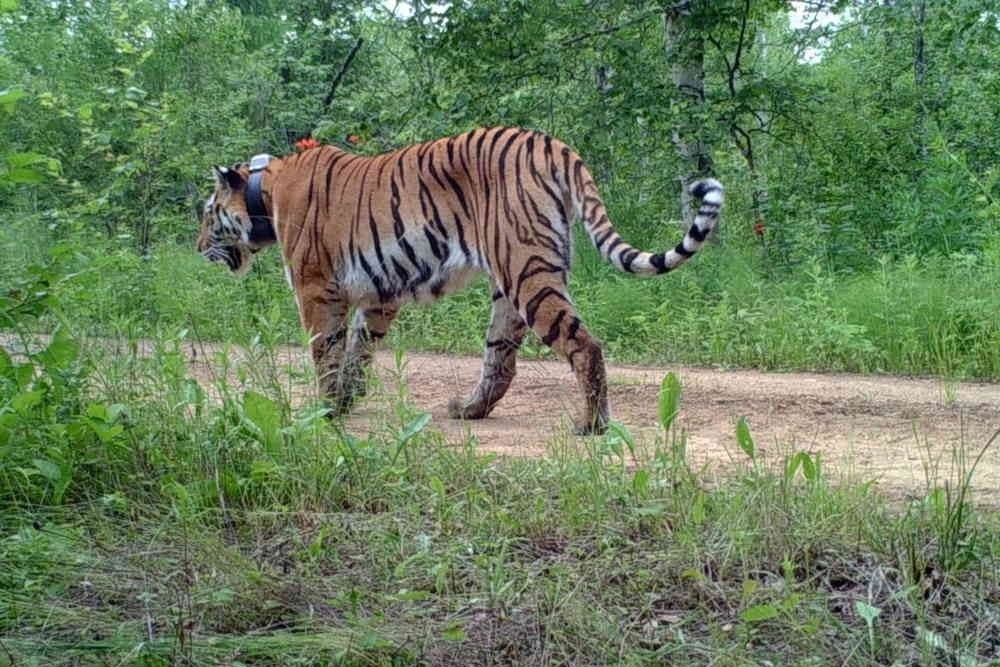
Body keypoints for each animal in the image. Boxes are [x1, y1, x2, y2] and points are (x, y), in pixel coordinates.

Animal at [197, 127, 728, 436]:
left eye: (207, 213)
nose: (198, 246)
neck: (264, 192)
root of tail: (551, 143)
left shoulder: (315, 290)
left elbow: (325, 351)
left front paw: (326, 411)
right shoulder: (379, 296)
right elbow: (357, 351)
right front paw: (346, 401)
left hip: (525, 271)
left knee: (585, 345)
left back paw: (591, 425)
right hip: (513, 282)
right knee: (501, 359)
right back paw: (470, 410)